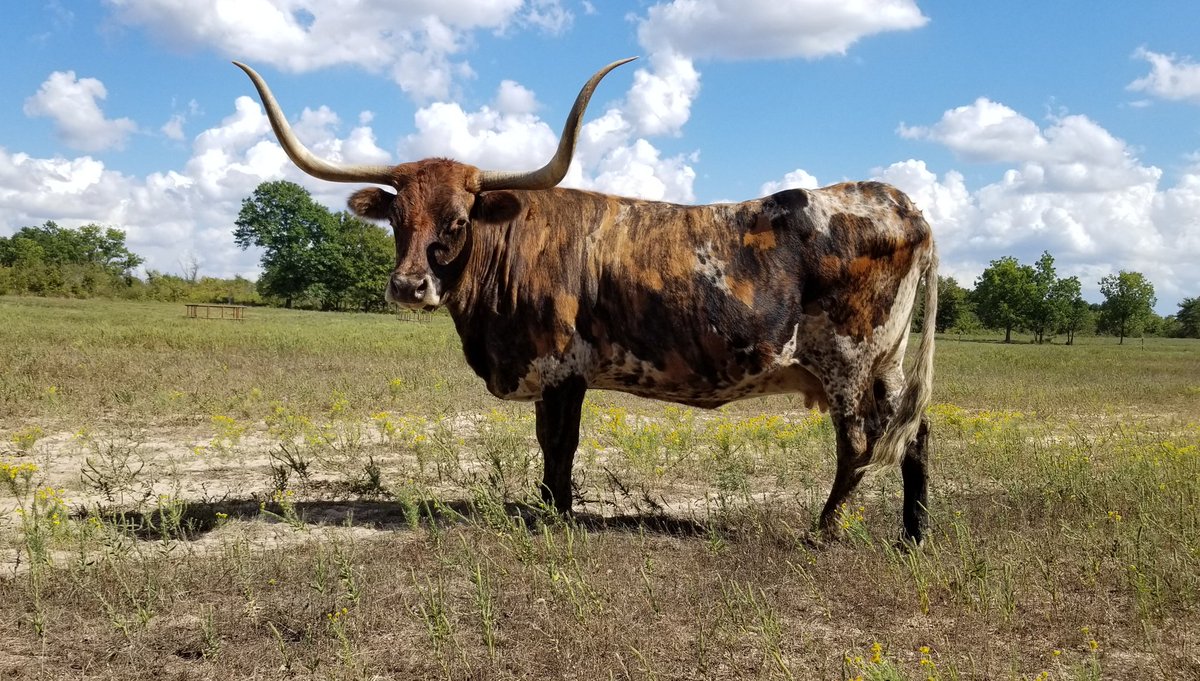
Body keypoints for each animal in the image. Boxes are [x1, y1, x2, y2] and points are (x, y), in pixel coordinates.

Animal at [236, 55, 936, 539]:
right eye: (396, 220)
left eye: (457, 221)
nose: (409, 286)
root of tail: (899, 201)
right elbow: (549, 445)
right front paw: (547, 510)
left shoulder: (562, 369)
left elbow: (559, 446)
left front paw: (556, 516)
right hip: (888, 365)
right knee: (914, 432)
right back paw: (913, 535)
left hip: (848, 364)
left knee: (860, 444)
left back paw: (824, 531)